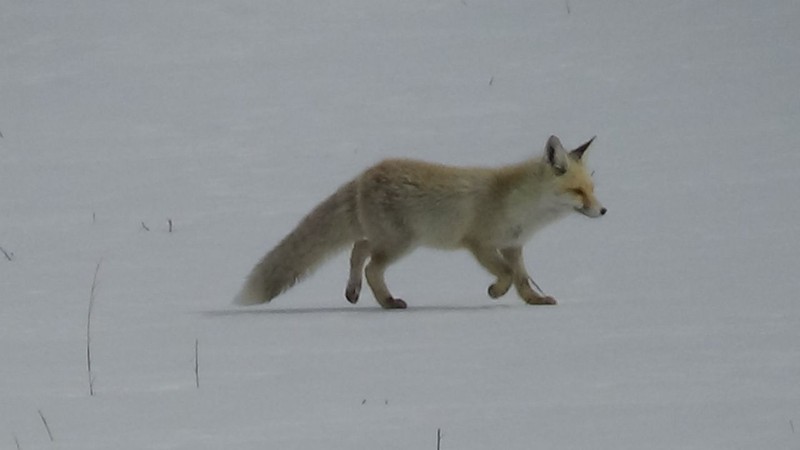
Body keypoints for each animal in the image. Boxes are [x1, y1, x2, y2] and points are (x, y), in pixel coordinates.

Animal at [234, 134, 604, 310]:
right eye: (577, 191)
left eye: (592, 189)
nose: (603, 212)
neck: (520, 205)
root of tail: (365, 174)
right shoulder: (480, 244)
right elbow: (507, 275)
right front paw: (495, 292)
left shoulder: (513, 245)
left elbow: (523, 279)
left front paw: (534, 301)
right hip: (401, 244)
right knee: (370, 266)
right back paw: (387, 303)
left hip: (387, 239)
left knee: (358, 249)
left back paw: (354, 292)